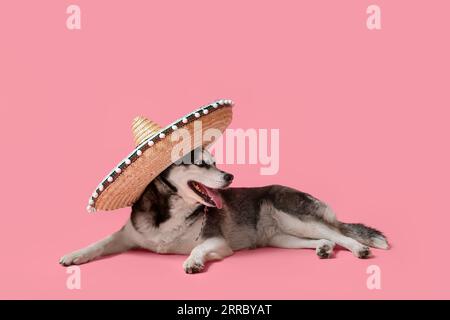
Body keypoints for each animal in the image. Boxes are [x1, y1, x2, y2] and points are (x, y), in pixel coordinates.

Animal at [60, 149, 390, 274]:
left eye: (216, 162)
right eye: (200, 163)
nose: (230, 176)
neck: (172, 210)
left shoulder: (217, 242)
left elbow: (199, 249)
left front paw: (193, 262)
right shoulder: (127, 235)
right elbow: (99, 243)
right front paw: (75, 255)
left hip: (297, 217)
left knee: (340, 233)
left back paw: (359, 248)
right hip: (282, 238)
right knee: (327, 238)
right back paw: (323, 249)